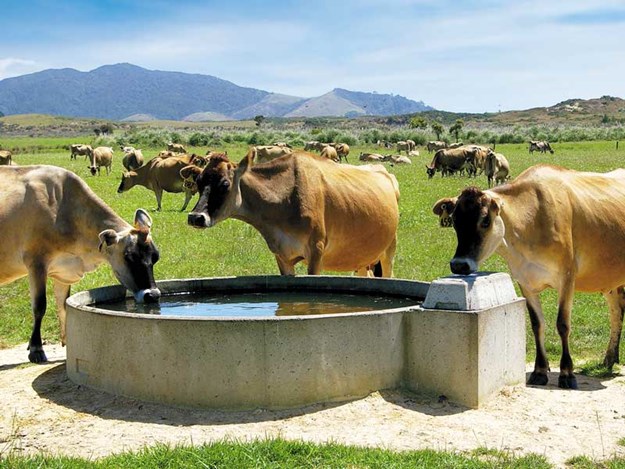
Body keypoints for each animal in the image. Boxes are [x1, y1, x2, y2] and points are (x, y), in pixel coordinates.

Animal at [1, 165, 161, 362]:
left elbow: (63, 306)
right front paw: (36, 349)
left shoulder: (63, 272)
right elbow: (39, 306)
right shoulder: (36, 262)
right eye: (129, 257)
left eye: (155, 257)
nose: (153, 295)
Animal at [186, 150, 400, 276]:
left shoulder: (316, 251)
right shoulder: (282, 256)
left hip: (389, 251)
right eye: (199, 181)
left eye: (225, 184)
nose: (196, 217)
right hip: (363, 258)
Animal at [432, 163, 625, 390]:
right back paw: (609, 359)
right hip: (610, 278)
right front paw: (539, 371)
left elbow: (562, 324)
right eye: (454, 221)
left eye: (485, 221)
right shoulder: (524, 281)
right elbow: (536, 324)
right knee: (616, 311)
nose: (459, 264)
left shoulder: (567, 277)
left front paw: (567, 373)